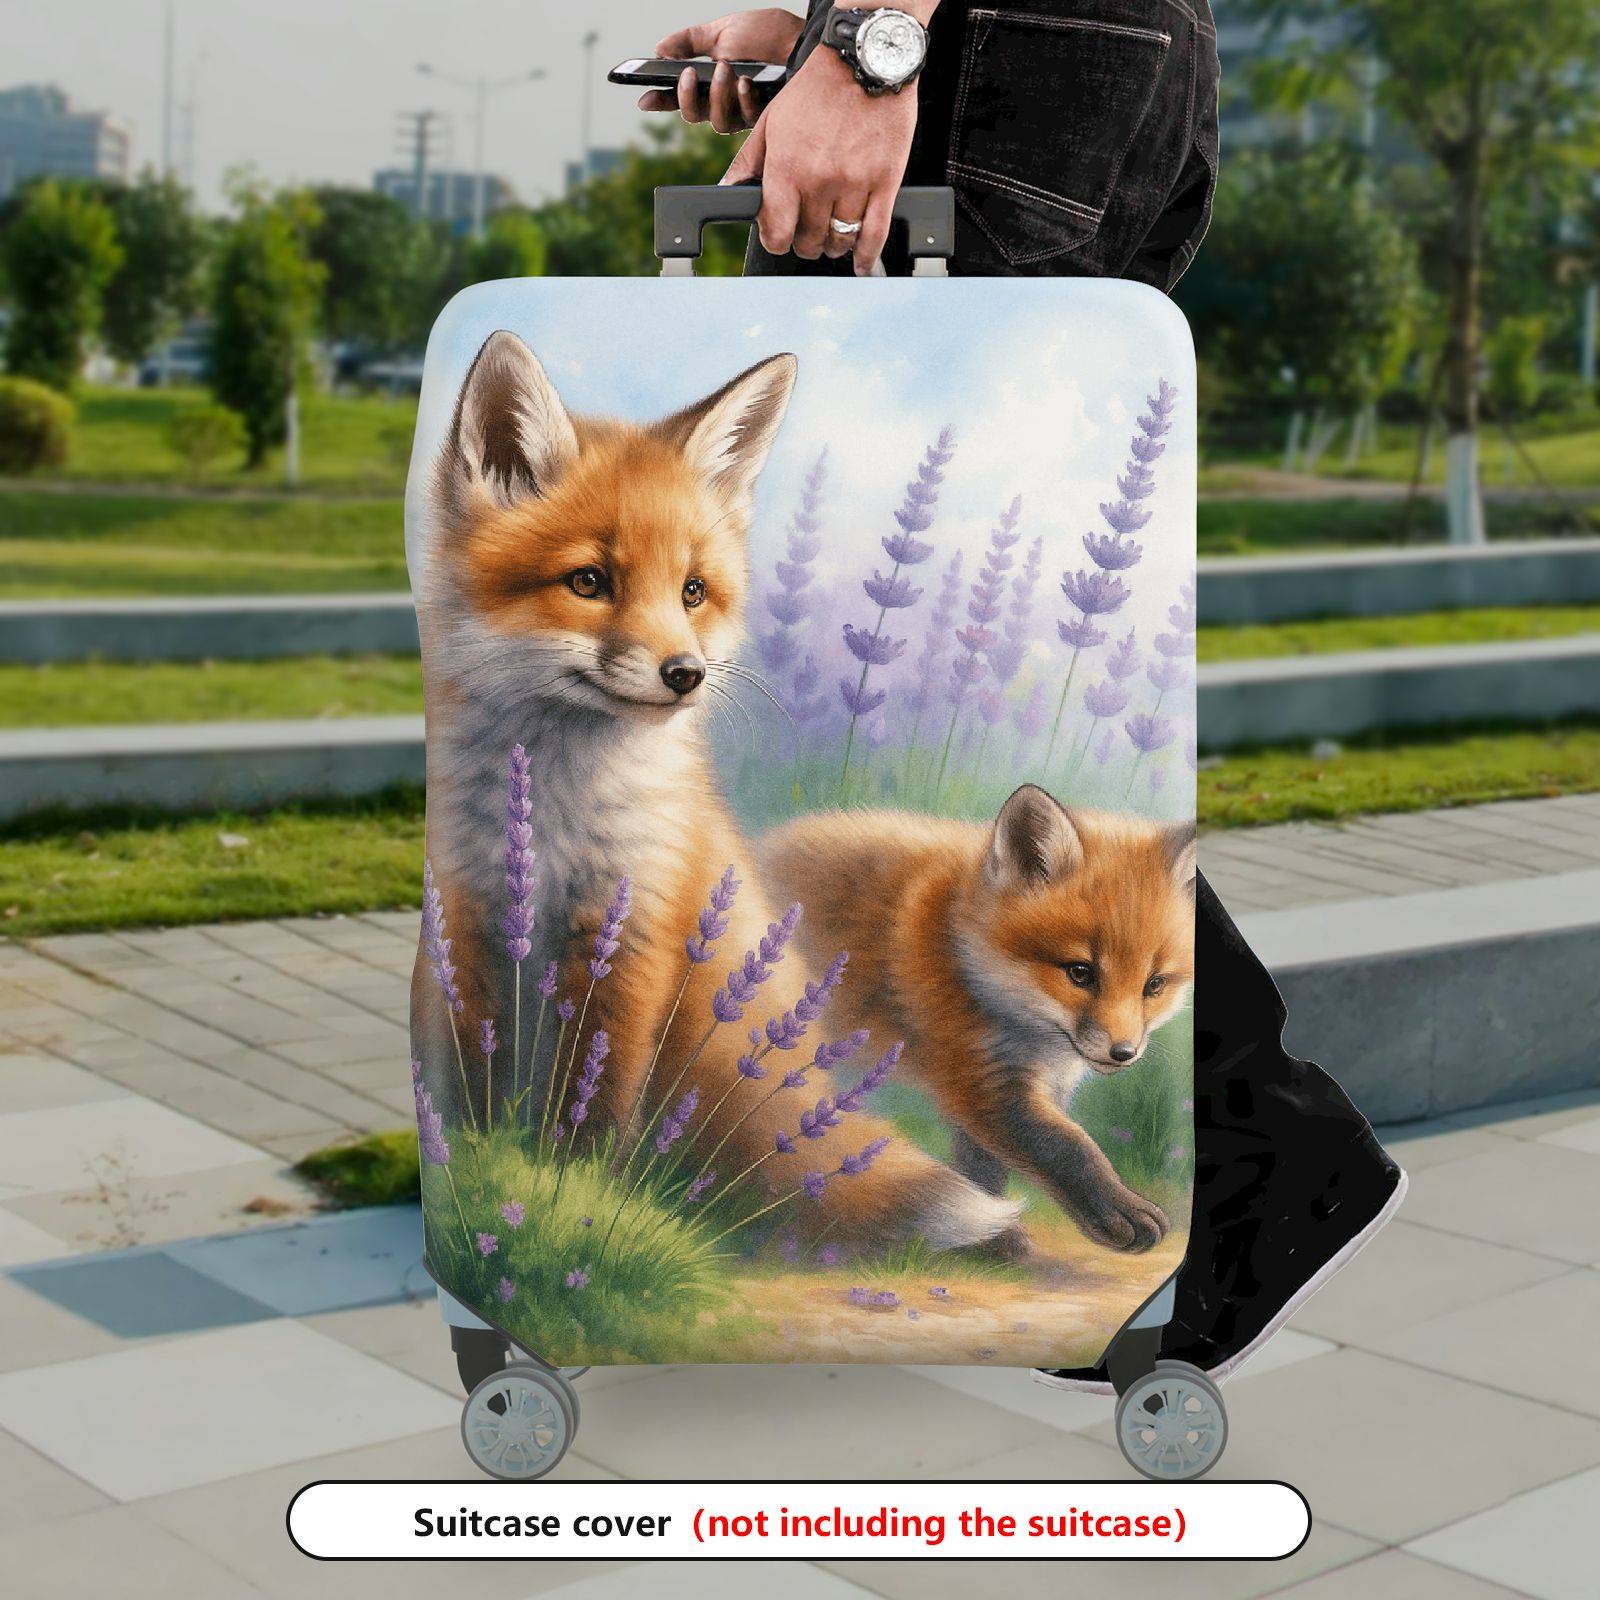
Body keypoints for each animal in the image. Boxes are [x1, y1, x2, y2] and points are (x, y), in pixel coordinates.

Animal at [409, 328, 1022, 1255]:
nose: (685, 674)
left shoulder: (633, 932)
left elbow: (592, 1105)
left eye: (692, 591)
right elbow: (475, 1080)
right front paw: (483, 1172)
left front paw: (565, 1197)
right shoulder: (475, 917)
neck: (552, 815)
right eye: (588, 582)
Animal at [762, 784, 1196, 1253]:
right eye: (1081, 972)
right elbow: (1067, 1146)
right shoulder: (980, 1081)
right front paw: (1115, 1211)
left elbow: (983, 1172)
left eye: (1154, 984)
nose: (1123, 1052)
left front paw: (989, 1242)